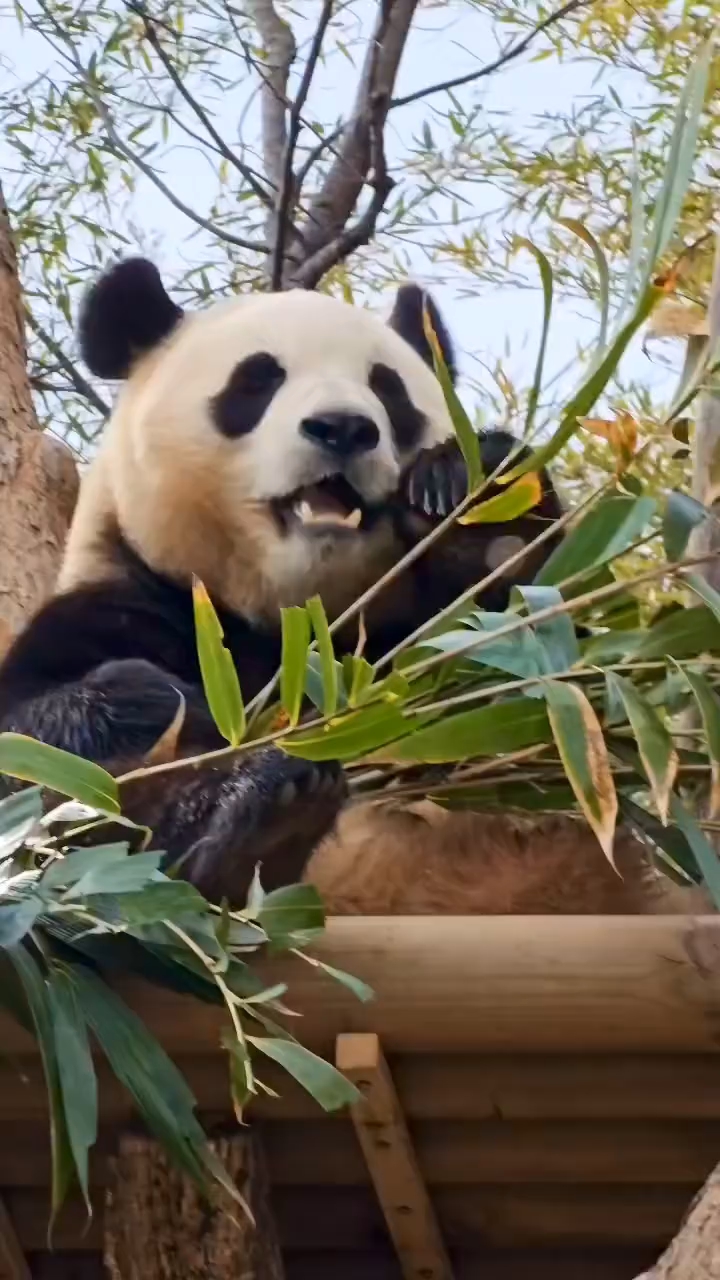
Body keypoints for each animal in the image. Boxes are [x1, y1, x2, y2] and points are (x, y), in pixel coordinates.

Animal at [0, 264, 702, 916]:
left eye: (388, 390)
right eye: (258, 380)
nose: (342, 427)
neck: (295, 621)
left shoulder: (416, 644)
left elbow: (560, 702)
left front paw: (475, 500)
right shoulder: (132, 602)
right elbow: (38, 750)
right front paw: (159, 700)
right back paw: (262, 821)